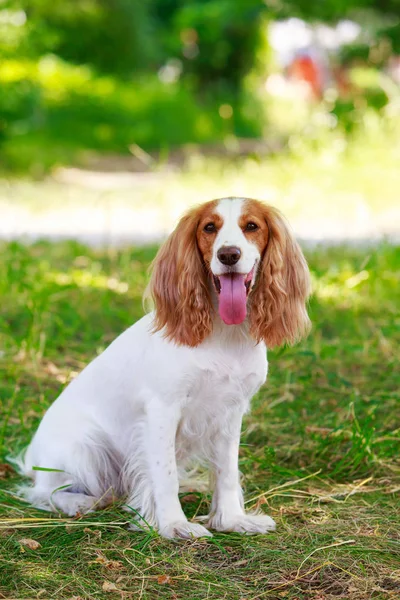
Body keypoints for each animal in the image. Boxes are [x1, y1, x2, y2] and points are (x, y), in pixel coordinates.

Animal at [14, 197, 310, 540]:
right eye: (209, 227)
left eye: (252, 226)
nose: (228, 254)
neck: (225, 334)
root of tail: (31, 457)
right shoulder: (163, 410)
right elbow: (164, 475)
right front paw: (173, 525)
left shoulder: (230, 413)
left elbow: (226, 472)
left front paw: (233, 520)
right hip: (85, 447)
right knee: (43, 491)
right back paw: (79, 502)